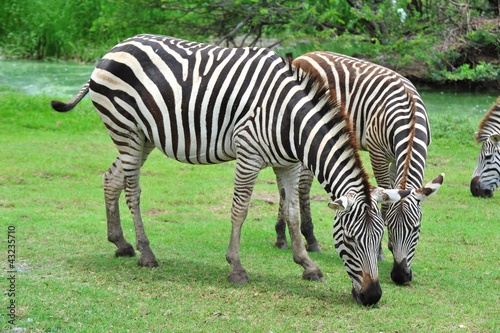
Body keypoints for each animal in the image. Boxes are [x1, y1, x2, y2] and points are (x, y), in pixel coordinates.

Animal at [51, 34, 410, 304]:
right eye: (348, 239)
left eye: (381, 238)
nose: (373, 297)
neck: (291, 122)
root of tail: (115, 47)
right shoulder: (248, 154)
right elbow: (240, 210)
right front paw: (236, 268)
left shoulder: (289, 165)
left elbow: (292, 212)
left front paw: (307, 265)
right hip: (126, 130)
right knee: (132, 191)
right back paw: (146, 253)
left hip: (144, 137)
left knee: (112, 179)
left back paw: (121, 244)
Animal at [274, 50, 446, 284]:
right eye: (389, 226)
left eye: (416, 228)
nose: (400, 276)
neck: (409, 117)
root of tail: (305, 55)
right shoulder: (378, 153)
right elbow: (384, 204)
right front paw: (380, 251)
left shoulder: (396, 158)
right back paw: (283, 237)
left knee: (302, 185)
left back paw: (308, 239)